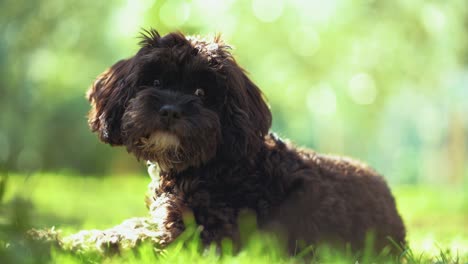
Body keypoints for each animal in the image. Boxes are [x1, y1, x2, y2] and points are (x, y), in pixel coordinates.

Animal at [87, 29, 406, 254]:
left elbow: (144, 238)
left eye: (202, 92)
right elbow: (137, 224)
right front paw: (96, 234)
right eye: (154, 82)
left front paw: (95, 242)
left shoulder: (210, 235)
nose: (170, 110)